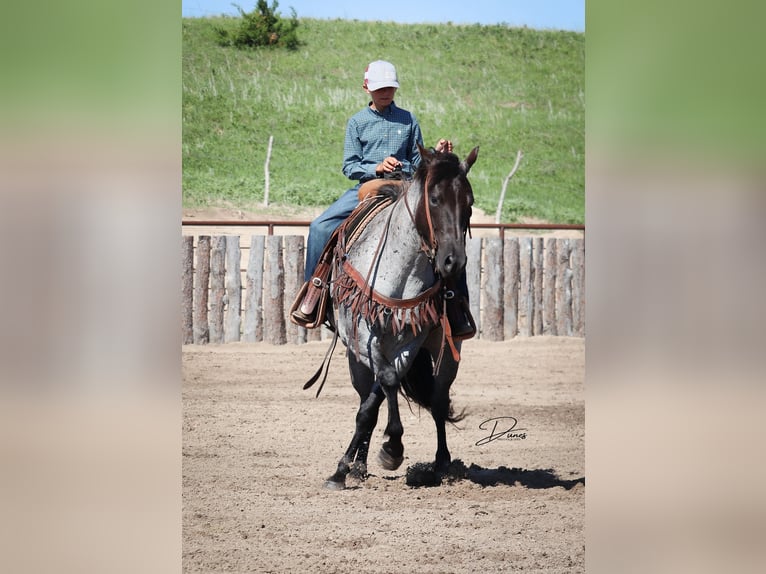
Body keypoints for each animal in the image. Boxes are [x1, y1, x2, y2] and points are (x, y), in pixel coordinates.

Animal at [312, 144, 480, 490]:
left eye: (469, 203)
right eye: (434, 199)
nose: (453, 262)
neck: (399, 270)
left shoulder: (410, 342)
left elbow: (382, 392)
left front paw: (391, 449)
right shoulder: (363, 337)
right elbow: (380, 390)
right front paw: (374, 455)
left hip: (447, 352)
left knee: (438, 399)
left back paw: (441, 464)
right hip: (356, 356)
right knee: (369, 395)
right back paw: (357, 466)